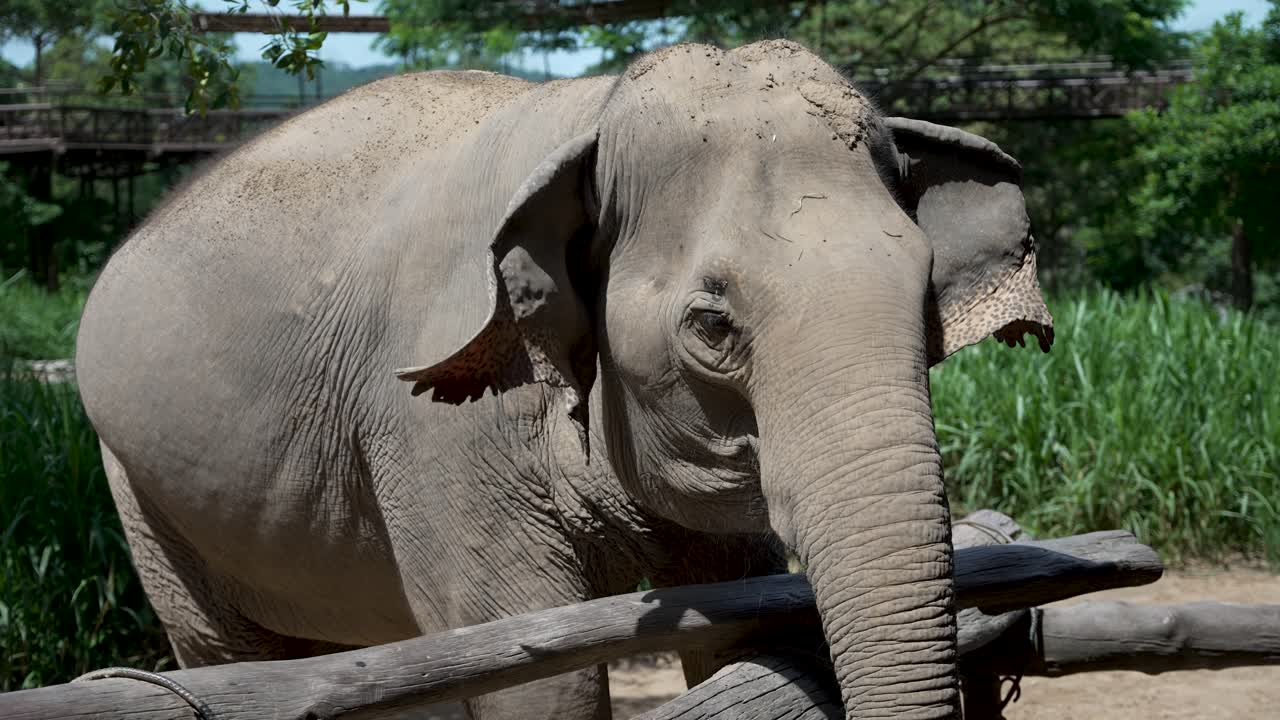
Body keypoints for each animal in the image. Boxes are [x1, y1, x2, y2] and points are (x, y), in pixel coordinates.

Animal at [75, 39, 1053, 720]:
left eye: (926, 297)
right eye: (712, 324)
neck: (600, 106)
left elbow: (738, 630)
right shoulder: (436, 434)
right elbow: (532, 678)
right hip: (140, 493)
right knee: (233, 658)